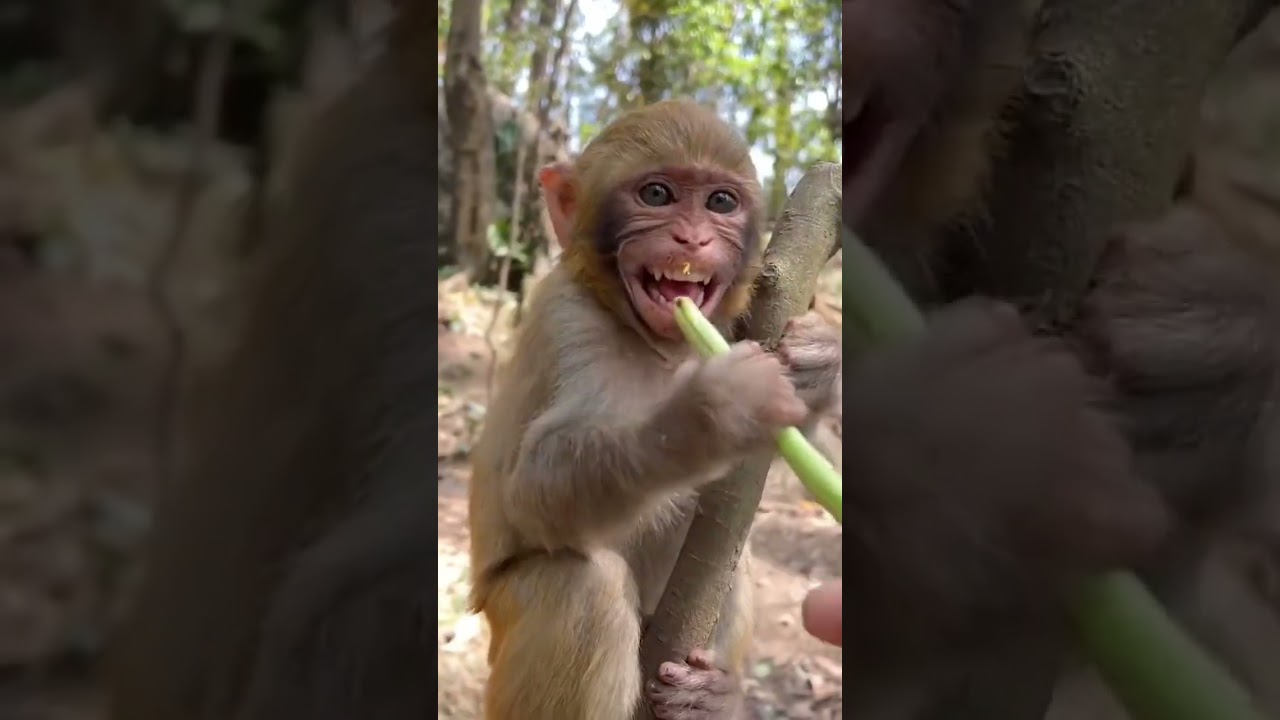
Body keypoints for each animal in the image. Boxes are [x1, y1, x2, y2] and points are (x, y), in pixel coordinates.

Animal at [466, 99, 843, 720]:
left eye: (720, 202)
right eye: (657, 195)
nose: (691, 240)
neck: (656, 344)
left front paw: (821, 359)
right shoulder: (566, 318)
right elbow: (533, 486)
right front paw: (712, 413)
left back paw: (712, 699)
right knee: (584, 592)